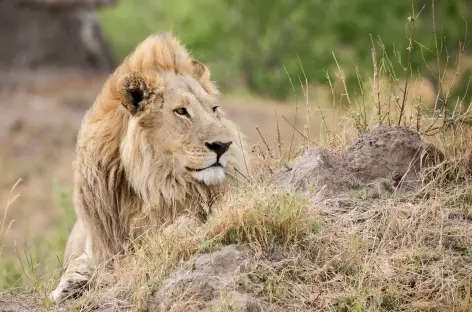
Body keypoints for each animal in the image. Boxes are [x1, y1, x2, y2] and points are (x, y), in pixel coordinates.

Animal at [49, 32, 251, 302]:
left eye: (214, 109)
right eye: (181, 111)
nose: (223, 145)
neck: (153, 183)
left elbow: (180, 226)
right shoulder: (101, 246)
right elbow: (81, 263)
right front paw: (68, 285)